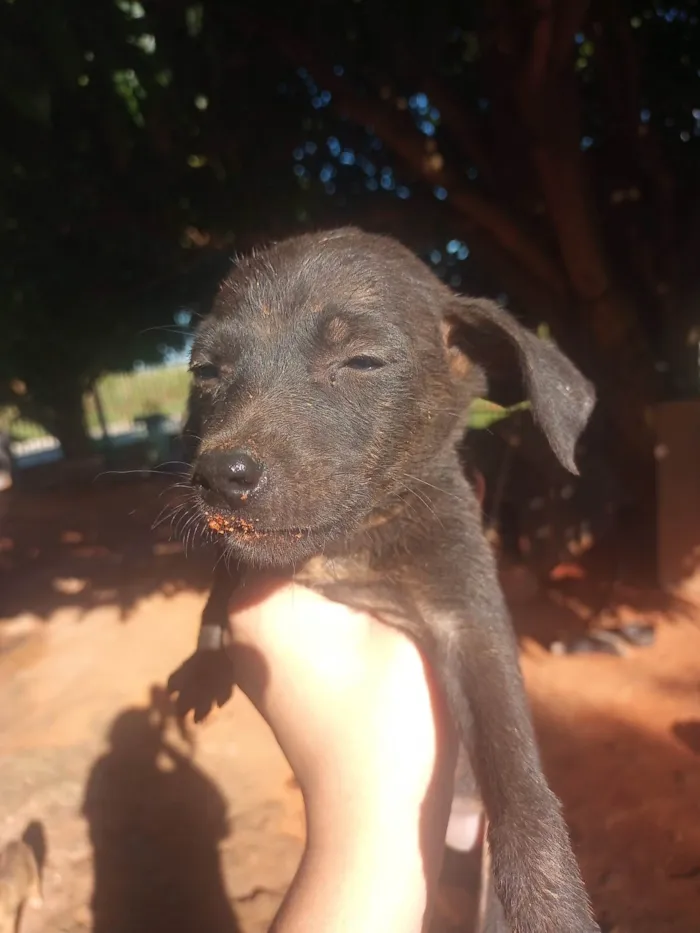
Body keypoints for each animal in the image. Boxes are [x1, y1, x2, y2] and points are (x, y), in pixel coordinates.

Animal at [167, 228, 600, 932]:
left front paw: (551, 905)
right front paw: (202, 667)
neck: (351, 546)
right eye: (206, 372)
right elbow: (221, 584)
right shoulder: (249, 557)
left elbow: (520, 784)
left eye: (362, 362)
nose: (219, 475)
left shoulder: (473, 621)